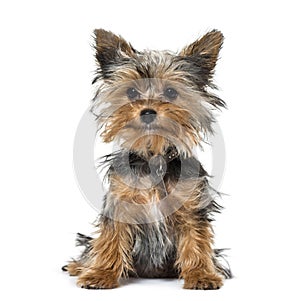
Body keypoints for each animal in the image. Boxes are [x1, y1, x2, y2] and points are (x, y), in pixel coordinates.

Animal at [62, 28, 232, 288]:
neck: (154, 156)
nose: (148, 111)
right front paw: (101, 273)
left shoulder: (191, 204)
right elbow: (110, 238)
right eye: (131, 91)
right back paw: (79, 266)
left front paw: (201, 274)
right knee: (92, 246)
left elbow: (196, 239)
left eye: (171, 92)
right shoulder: (120, 202)